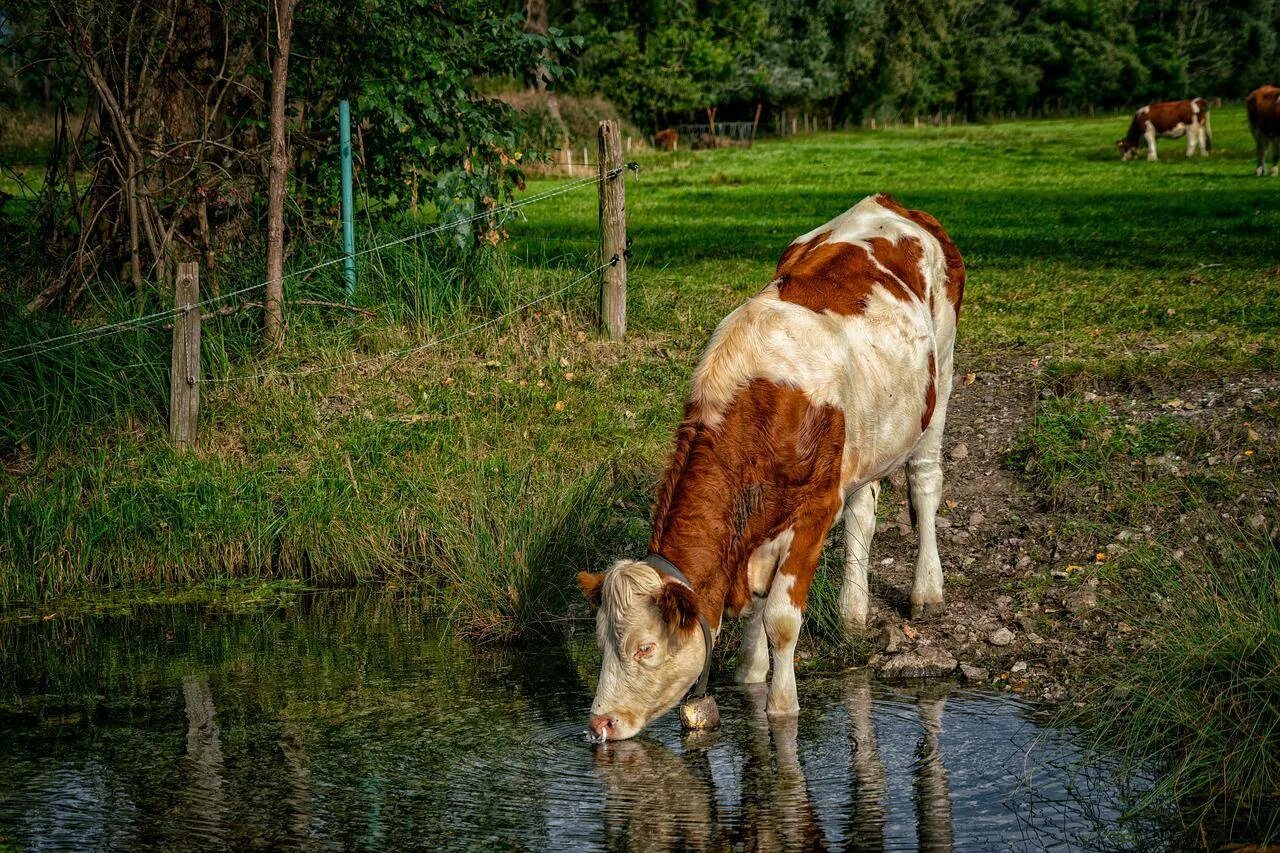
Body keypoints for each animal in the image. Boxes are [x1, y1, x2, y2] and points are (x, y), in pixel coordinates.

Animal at [576, 192, 962, 737]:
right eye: (600, 643)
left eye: (645, 647)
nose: (600, 724)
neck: (760, 402)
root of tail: (886, 202)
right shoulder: (761, 527)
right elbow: (757, 609)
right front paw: (751, 671)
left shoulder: (814, 510)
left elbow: (780, 618)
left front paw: (782, 705)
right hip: (867, 438)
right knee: (864, 510)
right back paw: (853, 611)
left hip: (941, 373)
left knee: (925, 482)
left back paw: (927, 591)